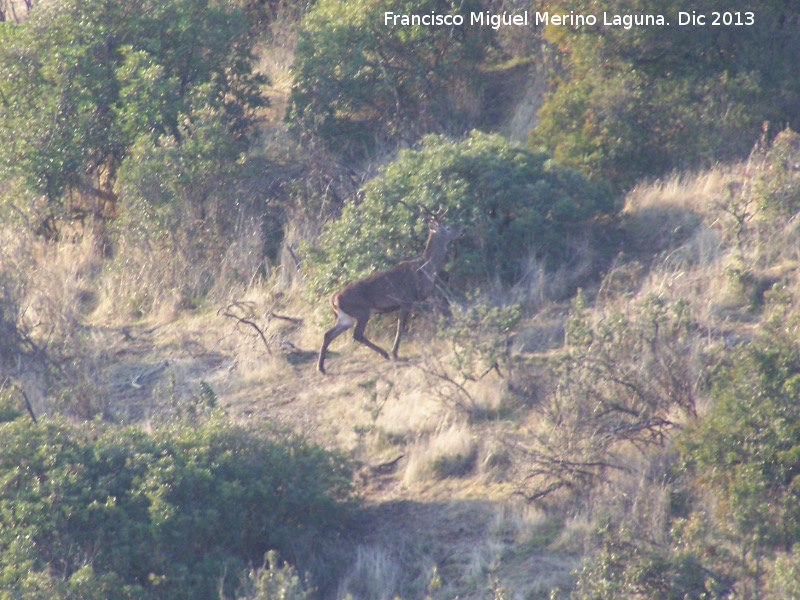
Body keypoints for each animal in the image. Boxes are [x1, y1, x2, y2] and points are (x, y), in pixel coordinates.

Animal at [316, 206, 460, 376]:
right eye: (448, 227)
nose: (461, 229)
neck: (426, 270)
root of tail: (334, 298)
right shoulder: (406, 300)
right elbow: (401, 328)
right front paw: (395, 353)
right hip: (362, 311)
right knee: (357, 334)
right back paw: (384, 353)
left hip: (346, 317)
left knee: (328, 334)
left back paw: (321, 368)